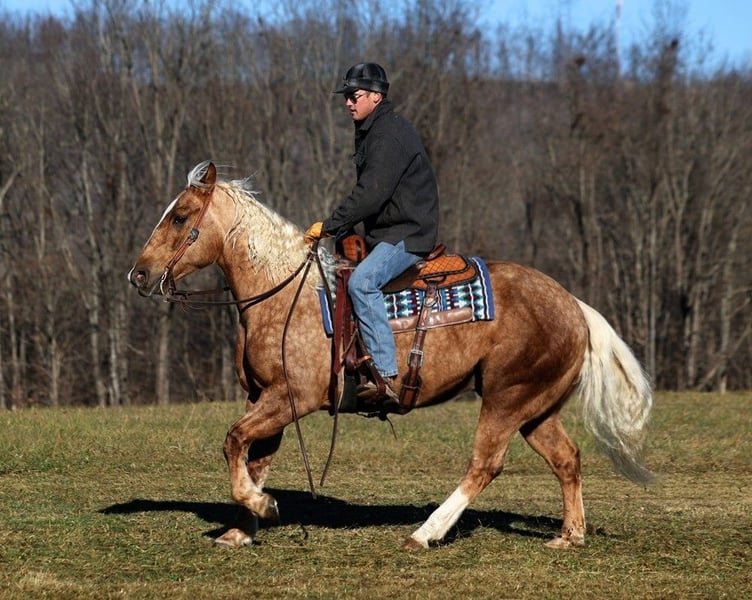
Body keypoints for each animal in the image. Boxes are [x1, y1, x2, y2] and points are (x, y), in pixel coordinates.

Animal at [128, 160, 653, 550]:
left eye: (180, 216)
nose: (139, 274)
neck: (282, 292)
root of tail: (573, 305)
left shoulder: (291, 397)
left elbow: (234, 442)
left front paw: (264, 506)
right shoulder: (266, 399)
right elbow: (252, 458)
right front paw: (242, 528)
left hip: (507, 399)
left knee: (485, 465)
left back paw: (425, 533)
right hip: (535, 408)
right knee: (567, 458)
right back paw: (570, 535)